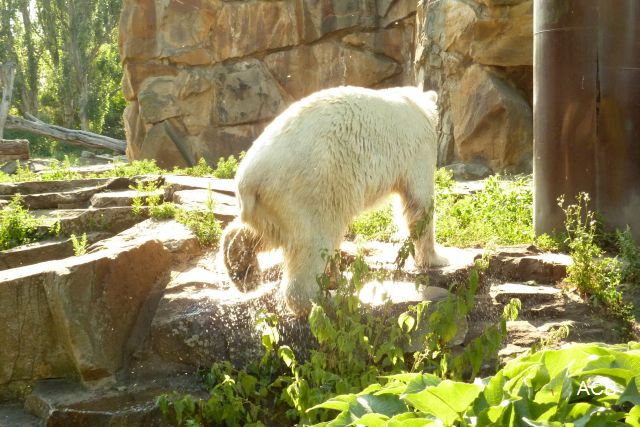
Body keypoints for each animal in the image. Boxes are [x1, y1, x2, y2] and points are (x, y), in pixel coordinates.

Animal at [221, 85, 448, 316]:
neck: (416, 104)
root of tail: (248, 179)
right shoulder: (418, 148)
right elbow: (419, 202)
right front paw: (437, 259)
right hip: (308, 188)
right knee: (314, 241)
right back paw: (325, 300)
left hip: (269, 202)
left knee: (267, 233)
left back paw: (243, 269)